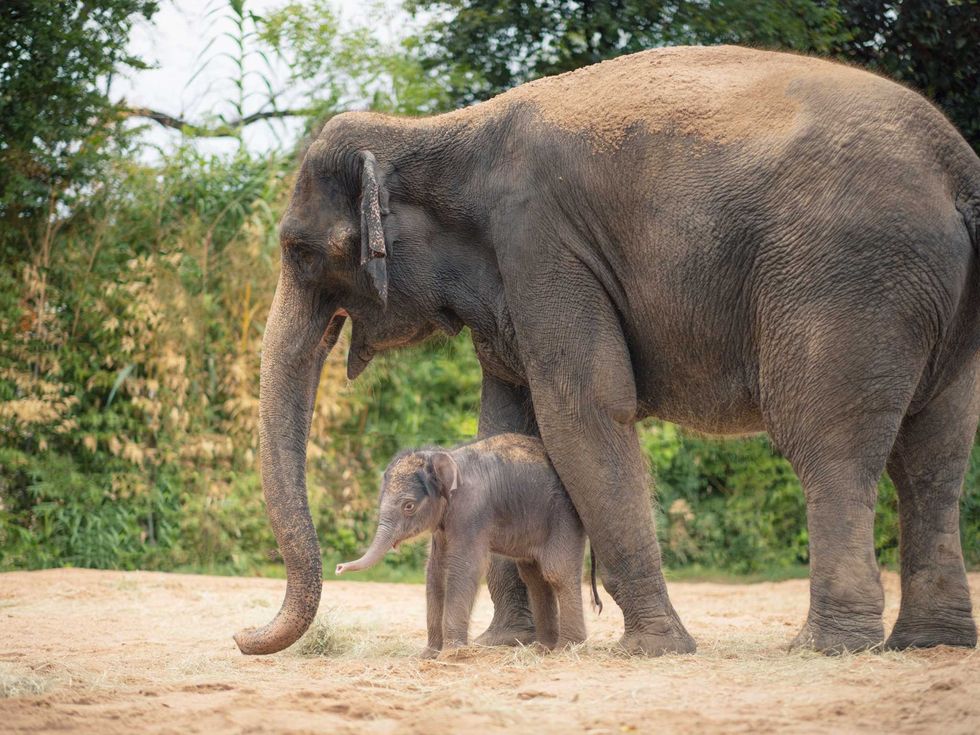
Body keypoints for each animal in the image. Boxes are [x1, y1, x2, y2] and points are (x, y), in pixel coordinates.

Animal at [334, 434, 603, 656]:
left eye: (408, 506)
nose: (338, 568)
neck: (446, 457)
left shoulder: (471, 510)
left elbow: (464, 567)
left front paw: (451, 654)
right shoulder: (443, 524)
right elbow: (435, 571)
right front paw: (429, 655)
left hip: (564, 516)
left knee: (556, 572)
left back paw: (566, 649)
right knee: (534, 576)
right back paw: (542, 648)